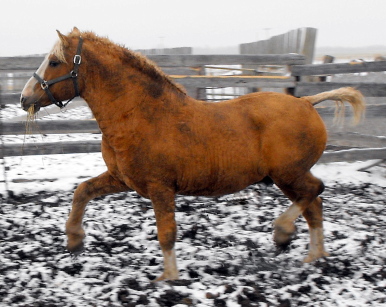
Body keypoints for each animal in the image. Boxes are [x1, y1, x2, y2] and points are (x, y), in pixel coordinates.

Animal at [20, 28, 364, 282]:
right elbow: (82, 191)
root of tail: (306, 102)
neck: (140, 114)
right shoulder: (123, 179)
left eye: (54, 62)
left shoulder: (160, 187)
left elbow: (167, 234)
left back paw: (283, 234)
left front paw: (168, 278)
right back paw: (314, 256)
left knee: (315, 192)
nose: (25, 99)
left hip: (288, 174)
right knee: (314, 205)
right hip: (286, 178)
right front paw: (74, 241)